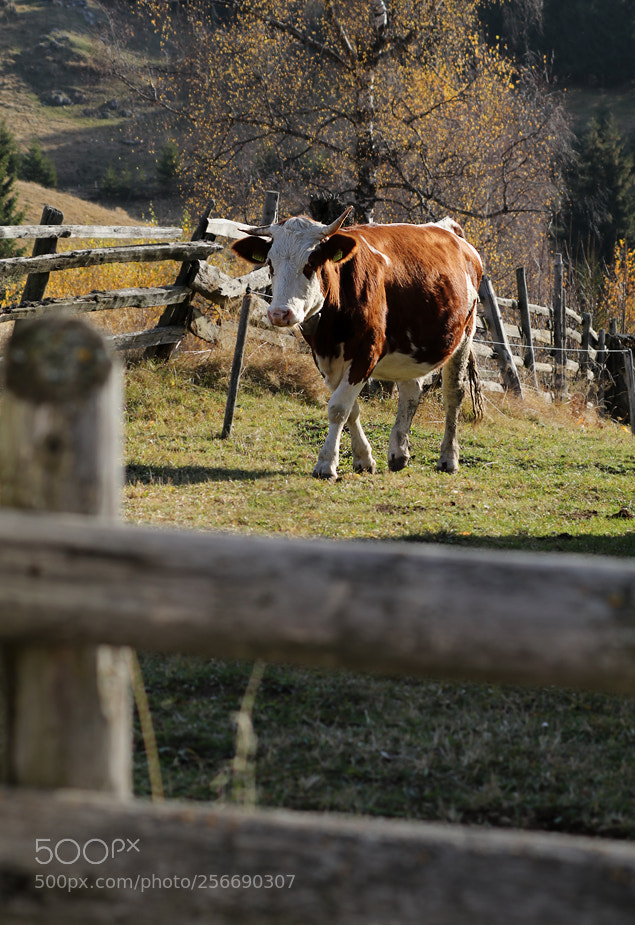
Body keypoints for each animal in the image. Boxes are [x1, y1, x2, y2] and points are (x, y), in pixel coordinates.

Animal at [232, 208, 483, 480]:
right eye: (270, 263)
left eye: (311, 262)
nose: (279, 313)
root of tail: (448, 229)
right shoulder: (324, 358)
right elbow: (350, 409)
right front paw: (363, 458)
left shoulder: (366, 353)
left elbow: (338, 407)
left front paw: (326, 464)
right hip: (411, 351)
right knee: (411, 392)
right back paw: (399, 453)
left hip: (465, 334)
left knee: (453, 395)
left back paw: (448, 458)